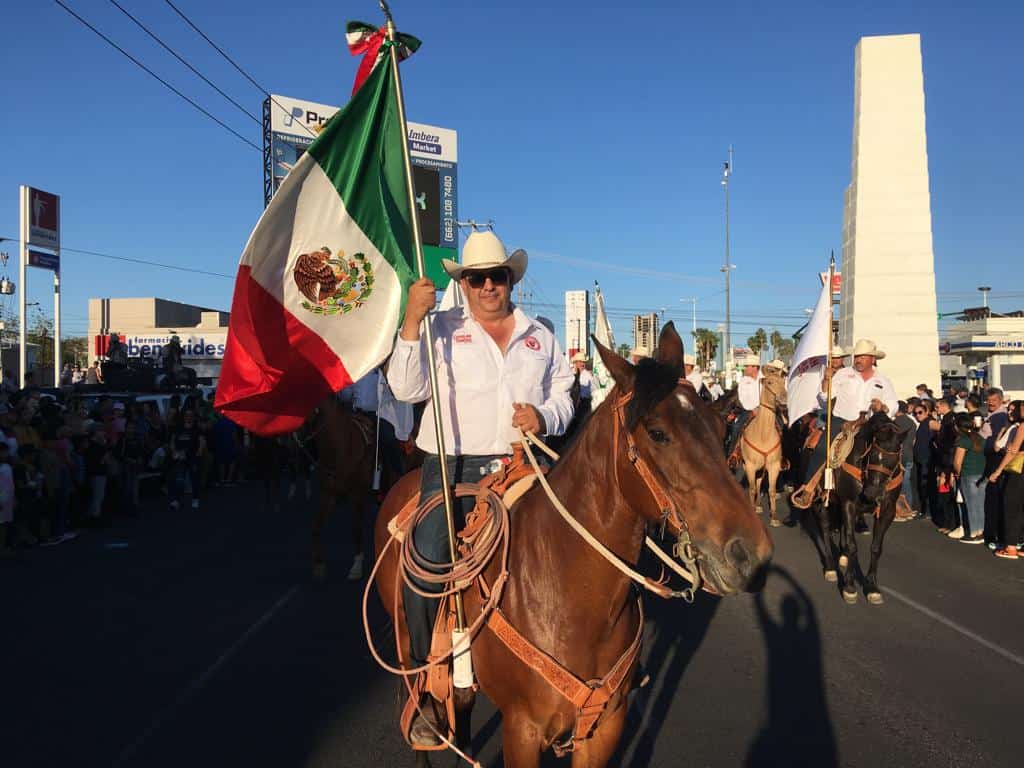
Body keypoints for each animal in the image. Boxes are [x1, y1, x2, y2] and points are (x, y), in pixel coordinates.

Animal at [372, 321, 770, 765]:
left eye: (721, 429)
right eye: (657, 433)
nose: (751, 554)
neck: (570, 594)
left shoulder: (604, 727)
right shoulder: (523, 730)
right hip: (408, 645)